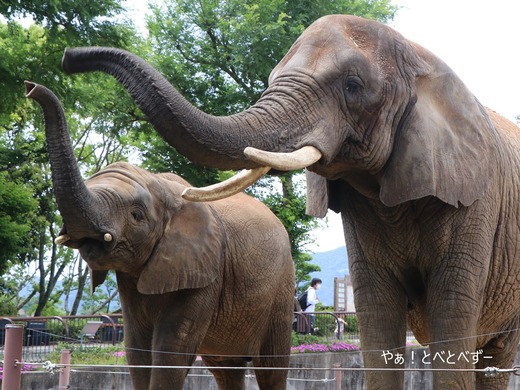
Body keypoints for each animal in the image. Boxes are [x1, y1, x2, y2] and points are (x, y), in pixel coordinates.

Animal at [26, 80, 294, 388]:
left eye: (137, 215)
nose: (30, 87)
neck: (162, 186)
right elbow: (137, 349)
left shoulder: (207, 272)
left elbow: (171, 350)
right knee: (225, 368)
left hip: (281, 287)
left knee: (270, 368)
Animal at [60, 13, 520, 388]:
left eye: (353, 87)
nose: (68, 57)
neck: (421, 55)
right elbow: (376, 311)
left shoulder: (475, 202)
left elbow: (451, 312)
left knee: (495, 358)